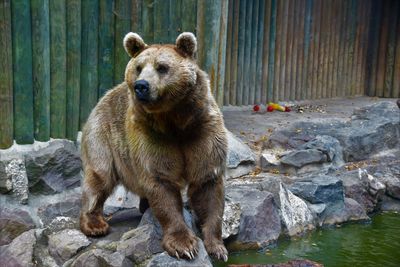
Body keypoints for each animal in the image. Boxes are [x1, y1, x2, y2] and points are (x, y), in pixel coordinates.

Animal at [79, 31, 228, 262]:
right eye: (139, 67)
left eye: (162, 67)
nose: (141, 85)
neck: (175, 121)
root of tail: (102, 98)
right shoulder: (151, 137)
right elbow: (161, 182)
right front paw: (184, 245)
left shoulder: (203, 131)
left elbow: (207, 184)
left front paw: (216, 246)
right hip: (102, 135)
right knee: (99, 177)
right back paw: (95, 224)